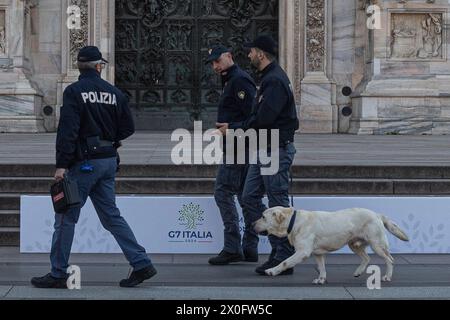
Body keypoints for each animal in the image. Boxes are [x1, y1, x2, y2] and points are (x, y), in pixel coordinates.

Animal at [255, 208, 410, 284]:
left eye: (263, 217)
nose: (251, 224)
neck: (294, 221)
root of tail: (377, 214)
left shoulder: (302, 252)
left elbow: (284, 262)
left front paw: (271, 271)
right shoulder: (318, 253)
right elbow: (322, 268)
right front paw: (321, 279)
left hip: (377, 245)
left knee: (389, 259)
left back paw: (387, 277)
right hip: (354, 244)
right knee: (367, 258)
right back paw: (358, 272)